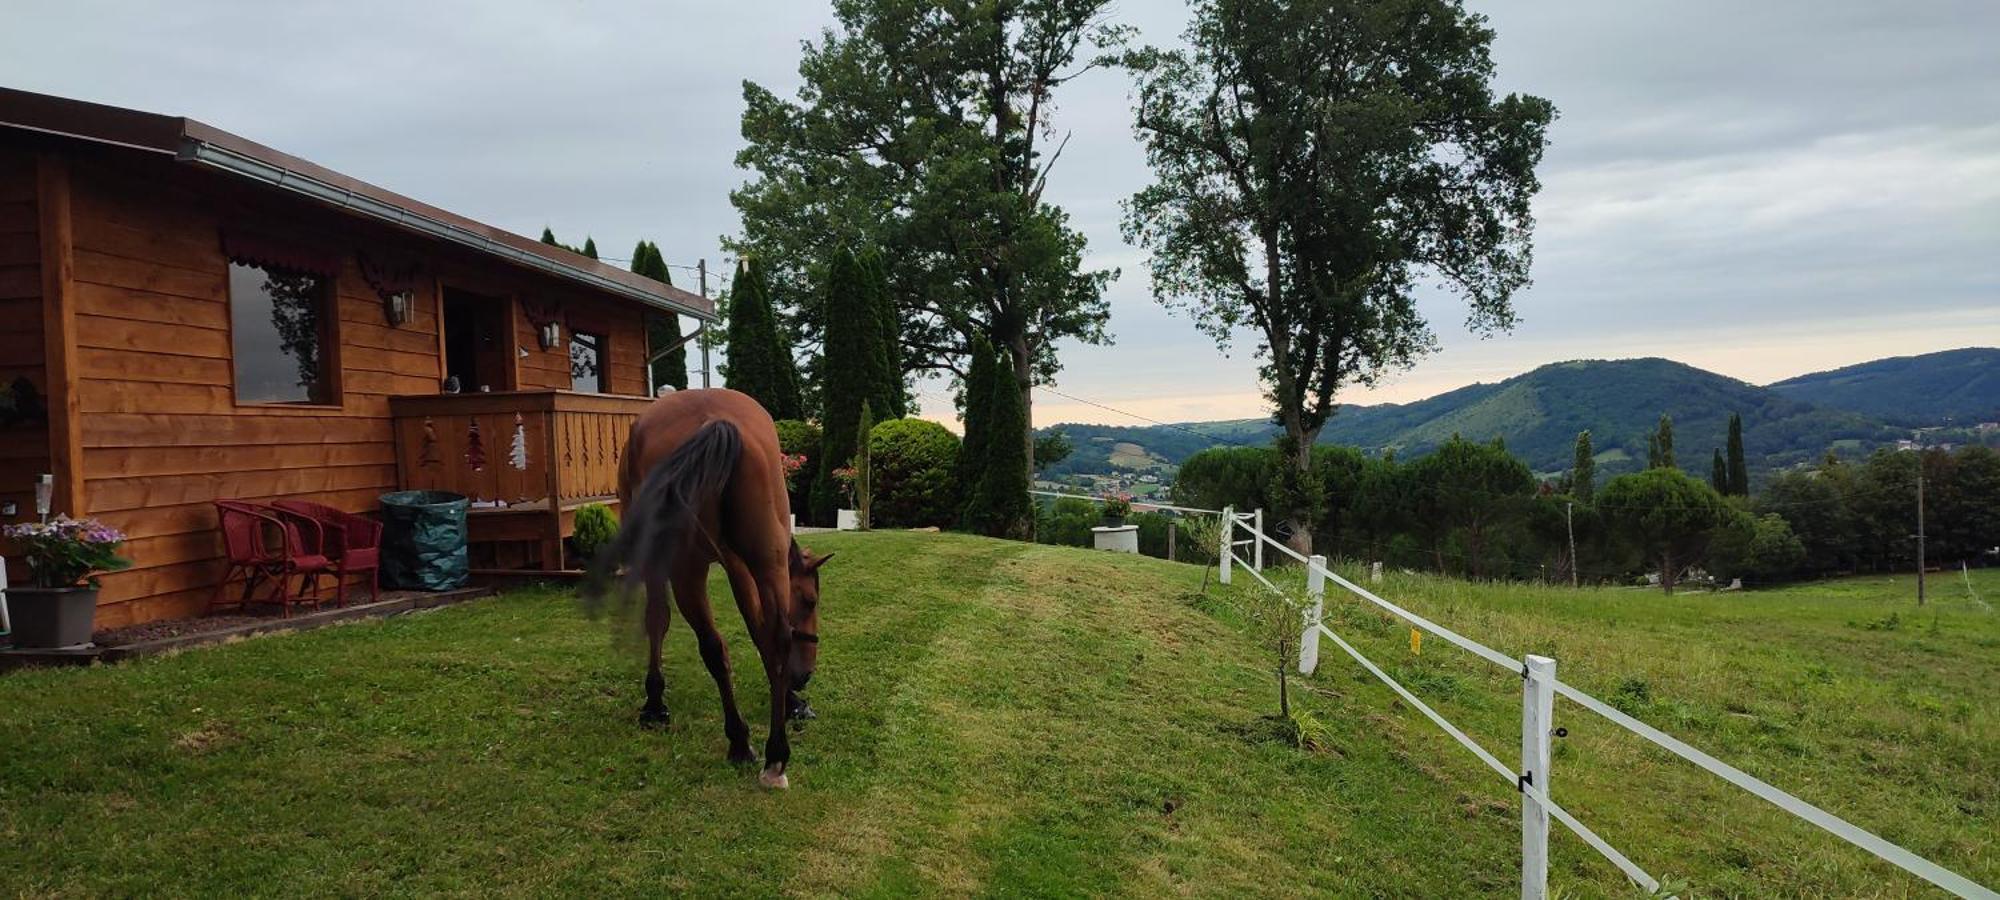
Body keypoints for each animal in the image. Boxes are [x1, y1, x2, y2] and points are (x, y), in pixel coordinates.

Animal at [584, 386, 824, 788]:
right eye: (810, 600)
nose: (805, 674)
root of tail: (716, 422)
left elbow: (657, 620)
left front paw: (654, 703)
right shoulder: (739, 565)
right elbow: (759, 630)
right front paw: (791, 703)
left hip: (687, 566)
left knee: (711, 644)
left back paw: (739, 741)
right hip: (766, 556)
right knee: (775, 635)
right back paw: (776, 755)